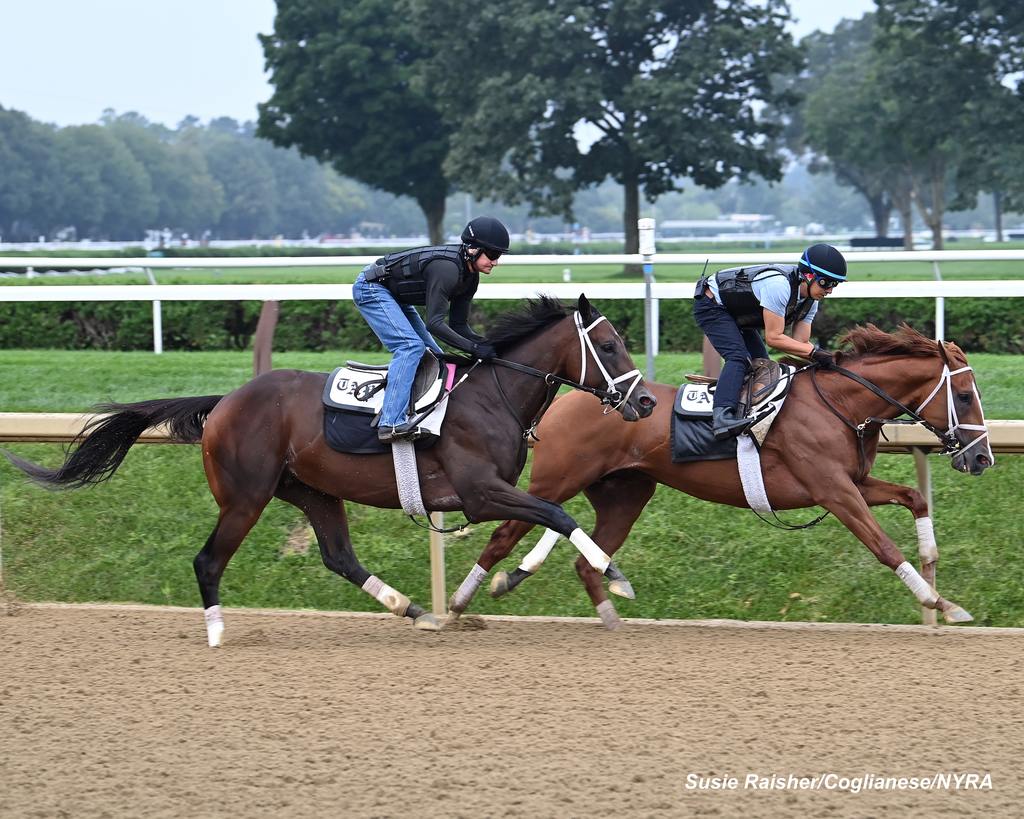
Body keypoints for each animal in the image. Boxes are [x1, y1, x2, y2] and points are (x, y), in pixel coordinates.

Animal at [9, 296, 655, 647]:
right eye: (611, 346)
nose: (646, 402)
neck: (491, 396)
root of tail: (224, 402)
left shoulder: (490, 494)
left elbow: (541, 520)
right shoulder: (479, 491)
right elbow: (556, 512)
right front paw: (616, 576)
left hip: (313, 492)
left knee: (339, 556)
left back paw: (412, 609)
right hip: (245, 497)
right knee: (208, 561)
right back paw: (217, 632)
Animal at [446, 325, 991, 626]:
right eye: (965, 396)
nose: (983, 459)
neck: (840, 405)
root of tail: (571, 399)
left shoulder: (854, 483)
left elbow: (914, 497)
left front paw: (934, 566)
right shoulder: (834, 490)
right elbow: (883, 546)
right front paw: (940, 602)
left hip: (625, 493)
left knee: (583, 555)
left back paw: (602, 610)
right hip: (554, 481)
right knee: (506, 535)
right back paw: (460, 603)